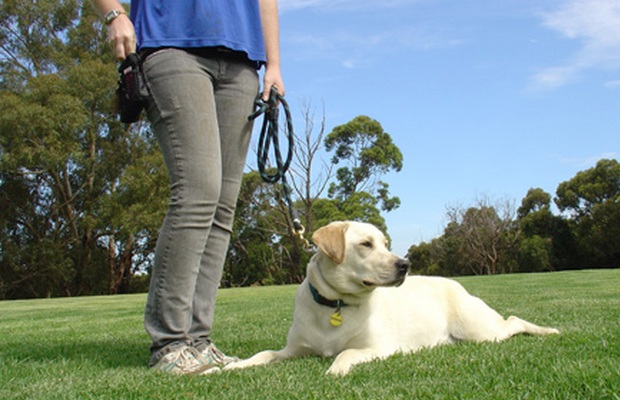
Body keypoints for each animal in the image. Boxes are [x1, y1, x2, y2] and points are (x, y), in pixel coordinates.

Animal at [224, 222, 560, 376]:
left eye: (385, 243)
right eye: (366, 244)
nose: (405, 265)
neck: (336, 305)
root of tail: (457, 284)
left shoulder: (377, 348)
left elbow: (346, 353)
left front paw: (334, 370)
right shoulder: (292, 350)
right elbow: (264, 354)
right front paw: (226, 367)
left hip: (480, 331)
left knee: (513, 320)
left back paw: (548, 330)